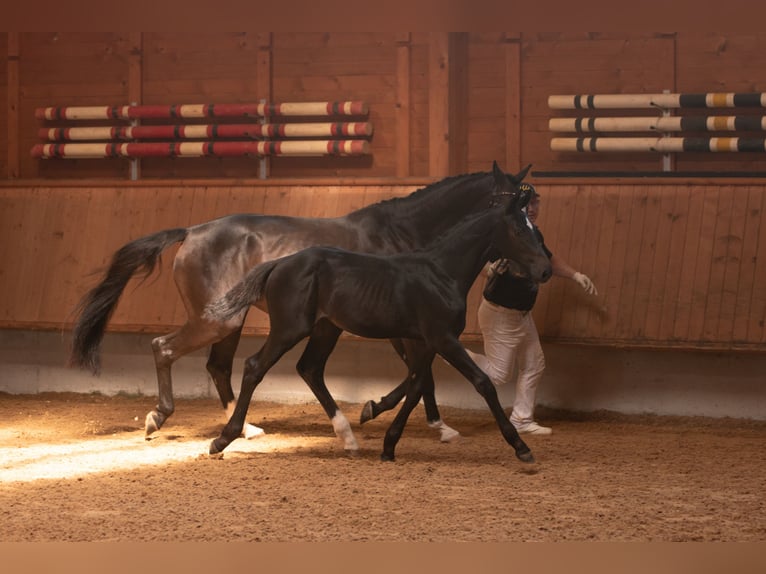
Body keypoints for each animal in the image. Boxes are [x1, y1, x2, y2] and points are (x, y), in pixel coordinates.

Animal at [69, 161, 532, 442]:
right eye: (505, 203)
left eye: (530, 205)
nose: (530, 262)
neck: (401, 236)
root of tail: (192, 231)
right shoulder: (404, 326)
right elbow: (422, 374)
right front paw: (403, 417)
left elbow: (420, 373)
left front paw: (392, 415)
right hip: (216, 320)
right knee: (164, 348)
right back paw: (161, 417)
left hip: (231, 321)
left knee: (218, 367)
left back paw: (245, 428)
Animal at [203, 162, 552, 463]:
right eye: (519, 230)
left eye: (535, 228)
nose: (546, 269)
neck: (440, 271)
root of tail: (279, 263)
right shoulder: (442, 338)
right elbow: (480, 382)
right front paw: (520, 447)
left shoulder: (426, 341)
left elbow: (417, 385)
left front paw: (388, 439)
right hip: (289, 328)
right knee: (253, 367)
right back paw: (224, 439)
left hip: (326, 327)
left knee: (310, 368)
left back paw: (348, 438)